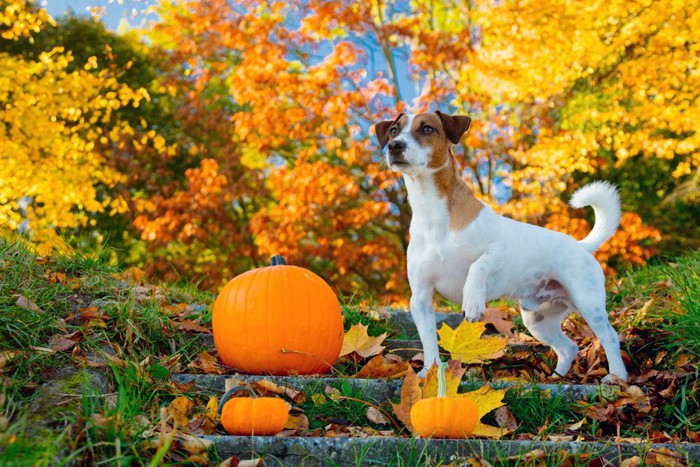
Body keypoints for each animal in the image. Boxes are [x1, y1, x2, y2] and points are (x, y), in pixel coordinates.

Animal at [378, 111, 628, 382]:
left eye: (426, 128)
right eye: (394, 130)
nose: (394, 146)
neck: (432, 211)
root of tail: (581, 245)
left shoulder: (498, 250)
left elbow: (478, 266)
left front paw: (473, 300)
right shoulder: (421, 299)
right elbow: (428, 342)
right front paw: (428, 373)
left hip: (588, 303)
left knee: (610, 337)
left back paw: (617, 377)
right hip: (538, 319)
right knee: (568, 347)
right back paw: (556, 377)